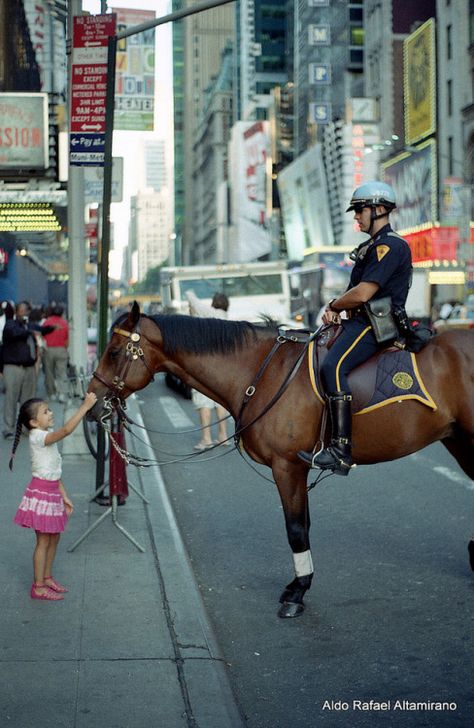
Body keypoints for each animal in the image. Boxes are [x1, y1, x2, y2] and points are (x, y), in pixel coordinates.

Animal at [88, 304, 474, 616]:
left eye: (114, 351)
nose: (92, 406)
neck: (262, 371)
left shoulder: (288, 466)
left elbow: (295, 528)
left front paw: (297, 592)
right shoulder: (295, 469)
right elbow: (304, 524)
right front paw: (299, 583)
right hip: (458, 440)